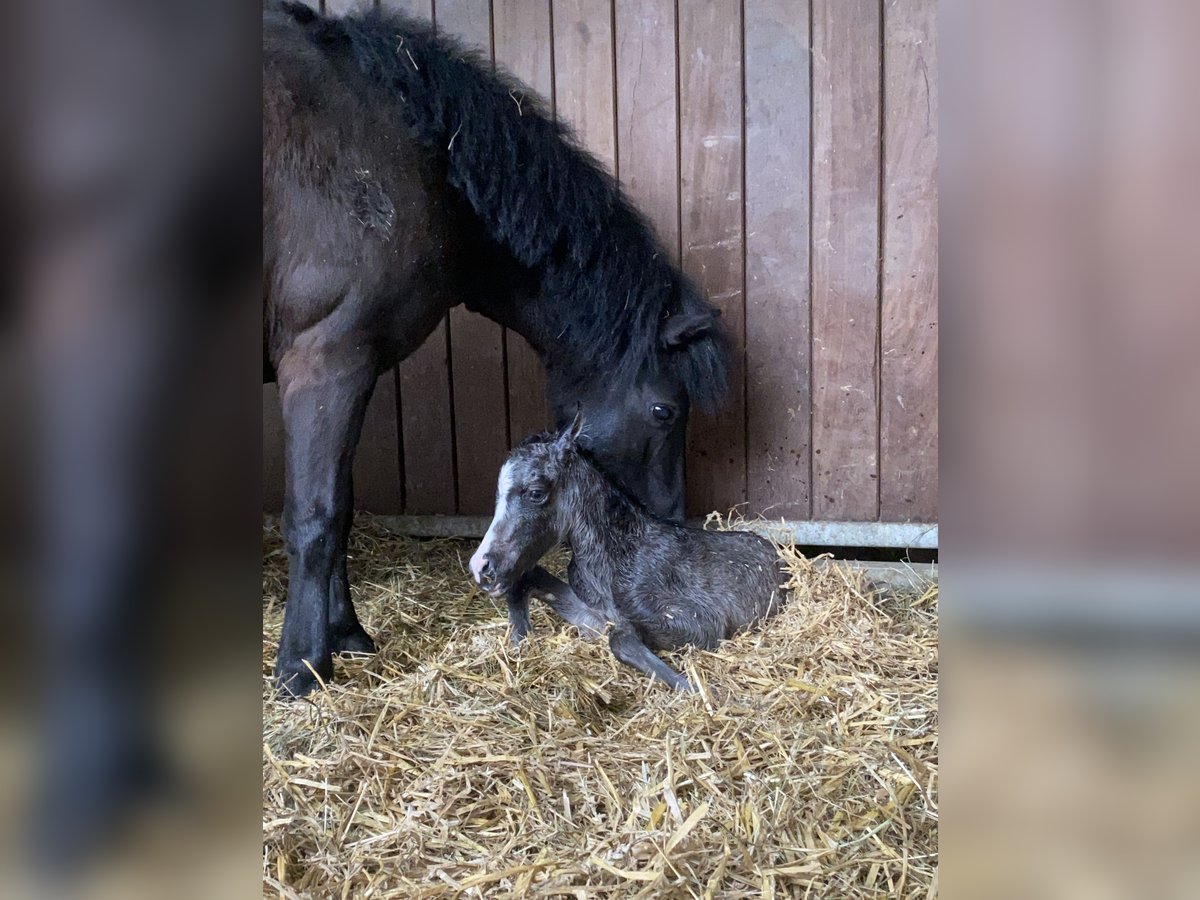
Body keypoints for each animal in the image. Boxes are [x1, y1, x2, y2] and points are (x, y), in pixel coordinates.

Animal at [266, 1, 724, 696]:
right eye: (665, 411)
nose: (672, 526)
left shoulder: (357, 368)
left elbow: (340, 511)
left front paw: (347, 635)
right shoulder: (324, 364)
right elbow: (315, 518)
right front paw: (301, 664)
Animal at [468, 420, 787, 696]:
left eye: (535, 493)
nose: (481, 567)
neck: (619, 554)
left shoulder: (703, 625)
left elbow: (620, 640)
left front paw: (696, 689)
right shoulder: (594, 616)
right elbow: (527, 581)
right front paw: (519, 643)